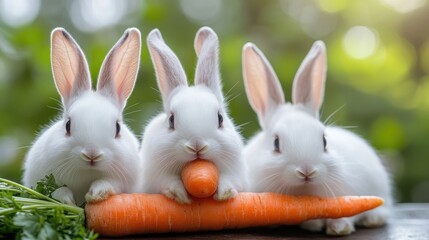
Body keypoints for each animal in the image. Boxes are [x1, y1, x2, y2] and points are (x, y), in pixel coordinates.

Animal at [22, 27, 140, 205]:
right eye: (67, 125)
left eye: (118, 128)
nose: (92, 155)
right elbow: (57, 191)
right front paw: (67, 200)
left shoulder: (123, 181)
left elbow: (108, 183)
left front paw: (96, 193)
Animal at [140, 27, 247, 203]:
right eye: (171, 120)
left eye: (220, 118)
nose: (197, 146)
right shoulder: (155, 177)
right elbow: (167, 182)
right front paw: (179, 195)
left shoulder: (237, 174)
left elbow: (230, 180)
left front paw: (225, 193)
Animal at [241, 41, 392, 236]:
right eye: (276, 143)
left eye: (325, 141)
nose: (307, 171)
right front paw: (313, 224)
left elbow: (346, 213)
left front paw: (339, 228)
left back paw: (373, 219)